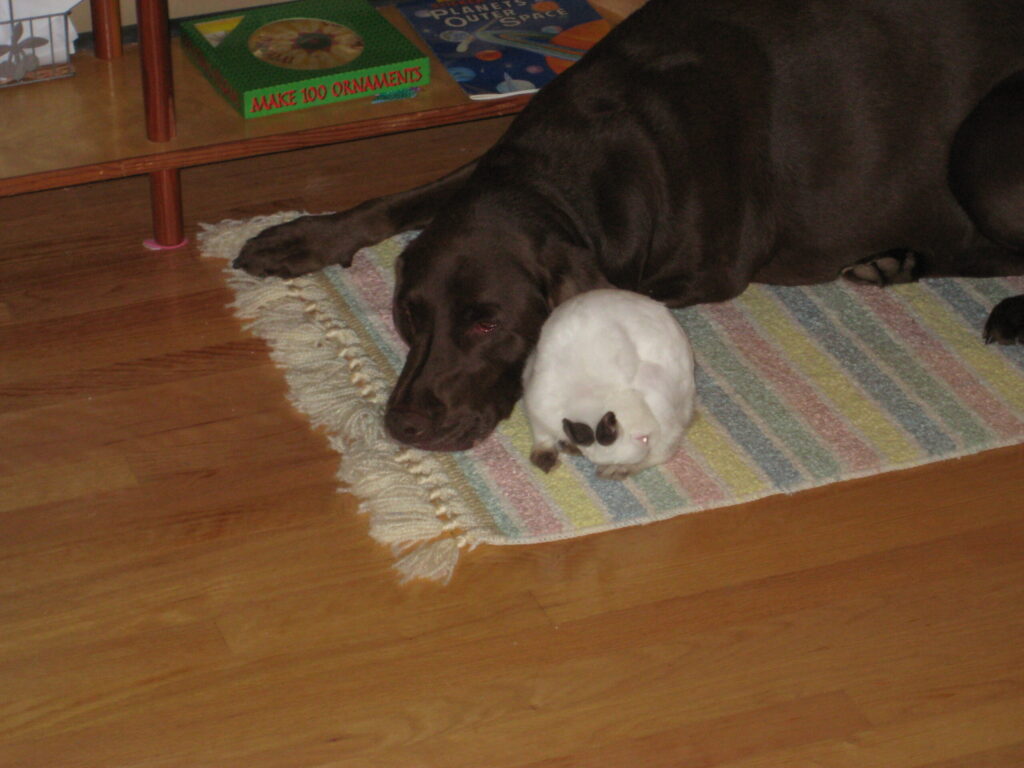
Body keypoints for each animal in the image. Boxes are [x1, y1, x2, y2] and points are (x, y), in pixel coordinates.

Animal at [521, 288, 696, 480]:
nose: (646, 448)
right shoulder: (537, 409)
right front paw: (546, 459)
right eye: (642, 439)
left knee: (665, 451)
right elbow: (542, 437)